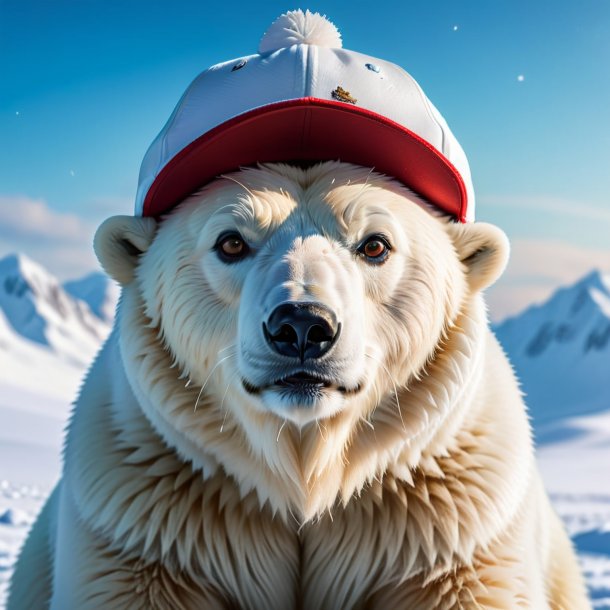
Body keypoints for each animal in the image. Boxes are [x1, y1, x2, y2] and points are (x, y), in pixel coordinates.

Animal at [10, 163, 588, 608]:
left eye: (375, 244)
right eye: (231, 241)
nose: (303, 327)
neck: (305, 467)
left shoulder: (446, 536)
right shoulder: (151, 530)